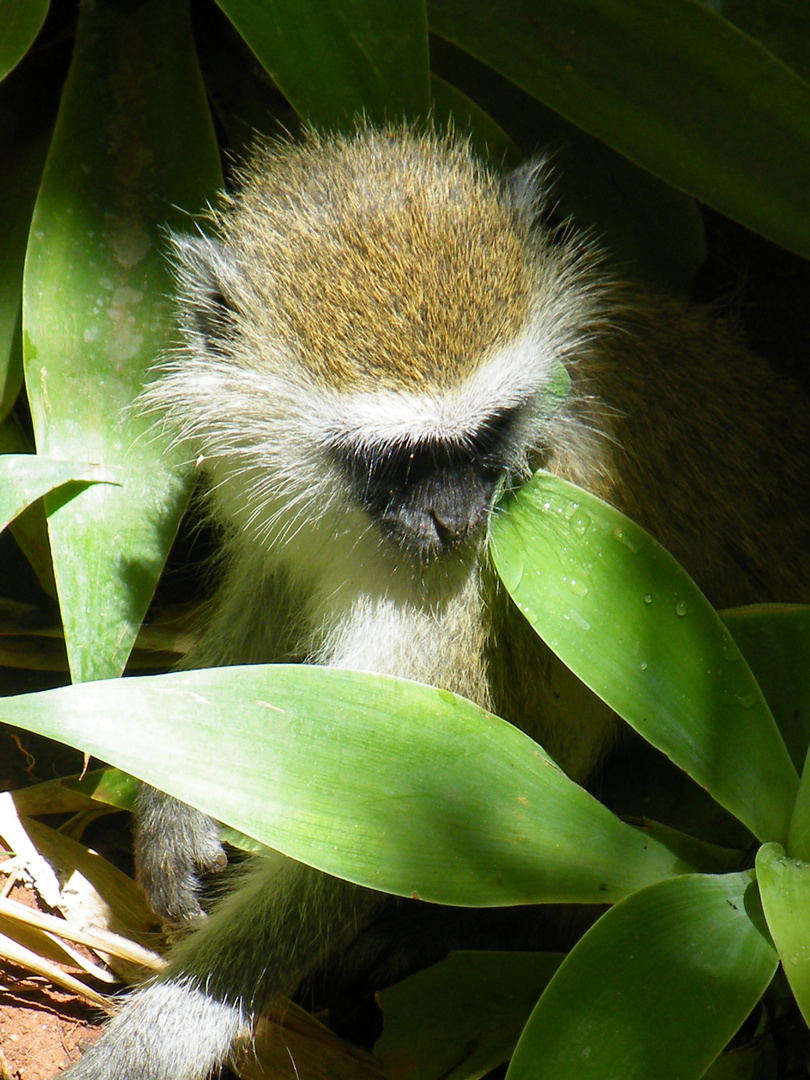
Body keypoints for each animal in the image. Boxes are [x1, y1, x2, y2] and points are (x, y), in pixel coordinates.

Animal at [61, 128, 810, 1080]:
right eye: (402, 460)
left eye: (490, 433)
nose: (458, 519)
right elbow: (268, 611)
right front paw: (169, 806)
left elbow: (380, 817)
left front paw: (147, 1043)